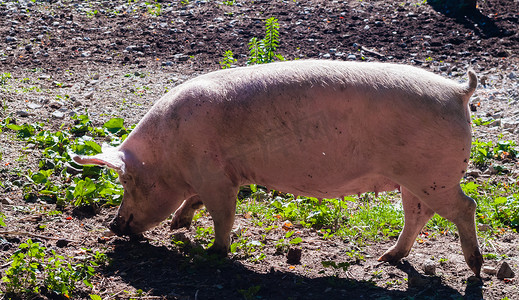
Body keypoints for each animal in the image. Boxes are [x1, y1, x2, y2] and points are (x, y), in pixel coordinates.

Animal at [73, 60, 484, 276]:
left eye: (127, 181)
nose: (113, 226)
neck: (170, 155)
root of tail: (458, 92)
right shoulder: (213, 176)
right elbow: (194, 201)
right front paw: (178, 226)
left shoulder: (216, 176)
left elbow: (222, 214)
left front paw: (213, 252)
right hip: (415, 180)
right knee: (419, 214)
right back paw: (387, 258)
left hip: (434, 176)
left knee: (466, 207)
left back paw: (476, 268)